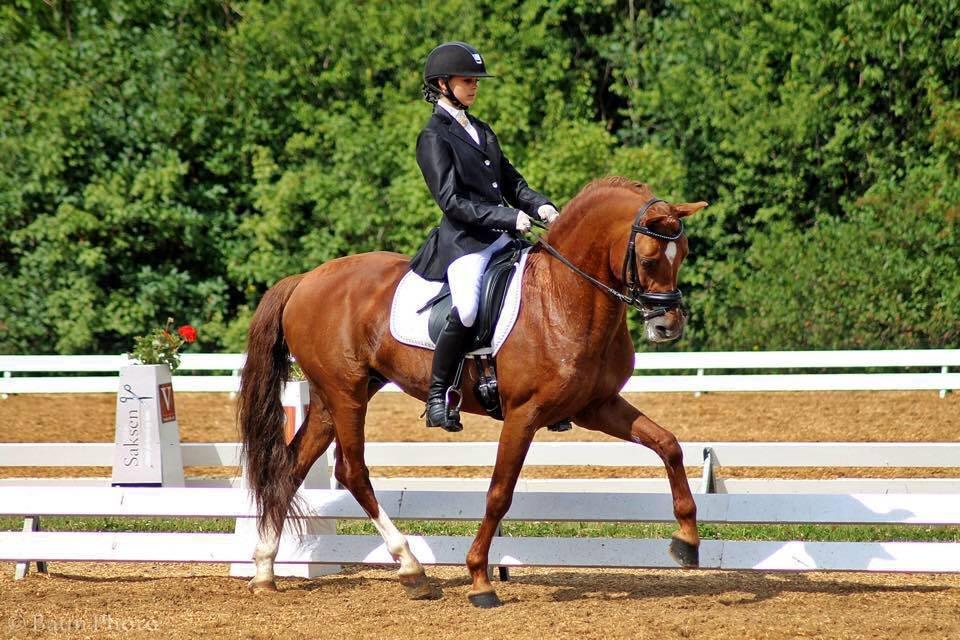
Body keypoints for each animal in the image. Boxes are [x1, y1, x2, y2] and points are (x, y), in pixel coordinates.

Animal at [238, 176, 708, 607]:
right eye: (648, 259)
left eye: (683, 254)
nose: (668, 326)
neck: (563, 296)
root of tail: (305, 280)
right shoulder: (524, 414)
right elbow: (499, 493)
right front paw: (480, 578)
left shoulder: (597, 406)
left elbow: (669, 445)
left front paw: (686, 540)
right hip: (346, 393)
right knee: (352, 472)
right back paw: (411, 569)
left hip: (331, 398)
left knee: (291, 468)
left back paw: (264, 570)